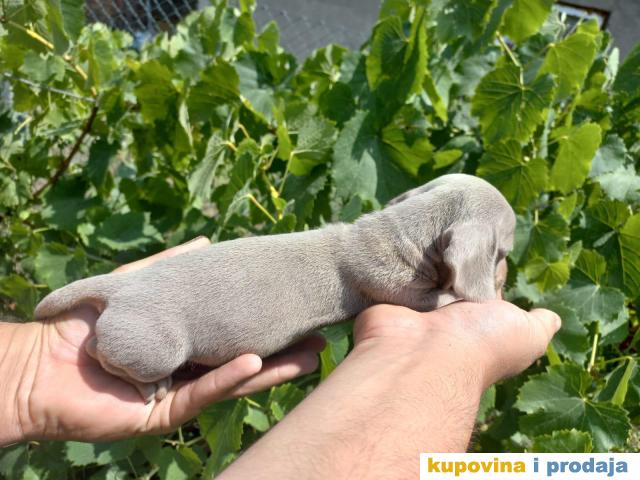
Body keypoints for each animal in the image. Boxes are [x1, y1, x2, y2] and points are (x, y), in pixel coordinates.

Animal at [34, 174, 516, 402]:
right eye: (506, 249)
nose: (506, 272)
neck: (400, 231)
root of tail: (119, 285)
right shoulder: (396, 288)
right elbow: (438, 299)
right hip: (156, 347)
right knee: (100, 353)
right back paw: (151, 387)